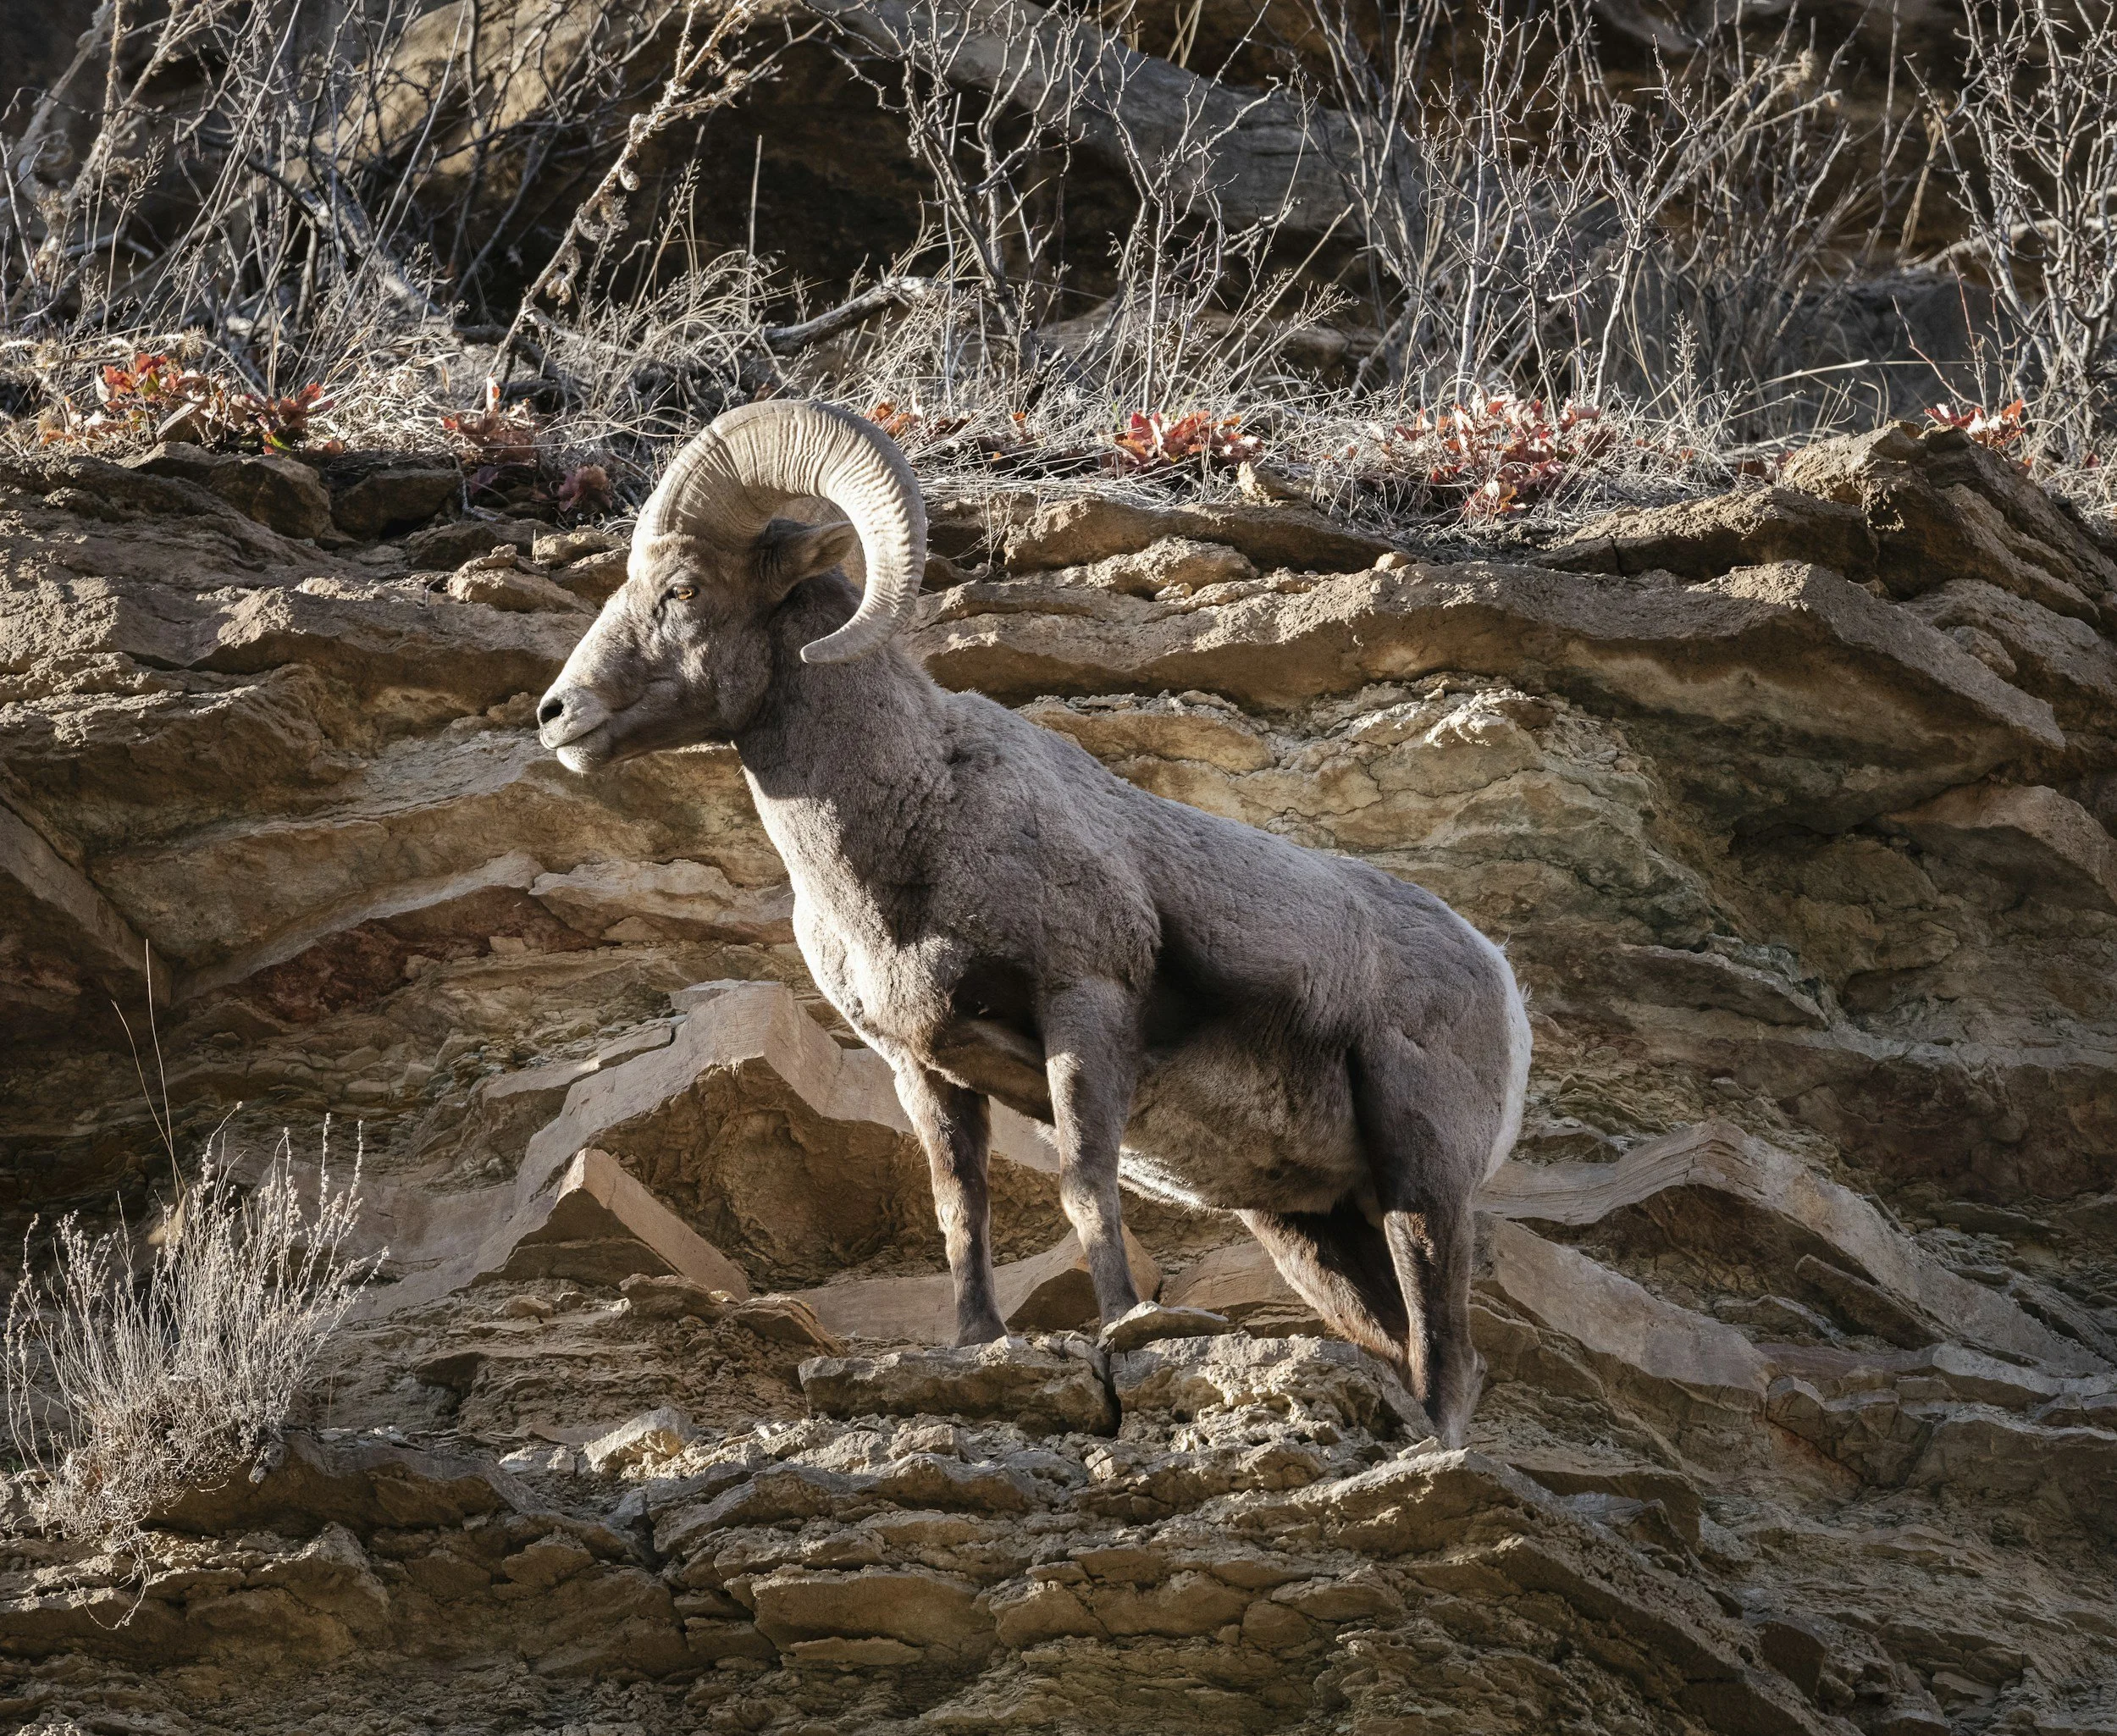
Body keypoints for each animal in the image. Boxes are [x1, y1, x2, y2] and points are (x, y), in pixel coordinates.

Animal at [536, 400, 1531, 1444]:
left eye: (683, 587)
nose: (557, 715)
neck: (917, 822)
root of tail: (1499, 978)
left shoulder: (1082, 1003)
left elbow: (1085, 1183)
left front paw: (1125, 1322)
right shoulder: (923, 1066)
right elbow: (958, 1210)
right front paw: (978, 1343)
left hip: (1420, 1177)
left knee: (1444, 1350)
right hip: (1308, 1228)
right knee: (1403, 1345)